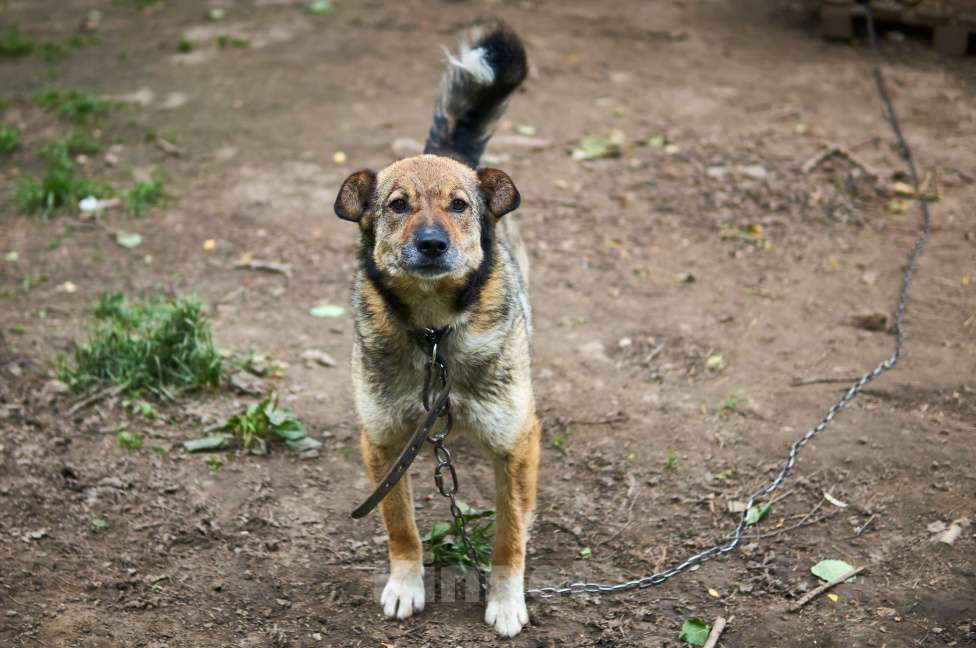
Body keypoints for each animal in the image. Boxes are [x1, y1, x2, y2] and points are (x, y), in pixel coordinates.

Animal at [332, 19, 536, 636]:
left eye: (459, 205)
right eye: (398, 205)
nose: (431, 243)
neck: (434, 332)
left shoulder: (515, 443)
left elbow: (509, 533)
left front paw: (506, 600)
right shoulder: (382, 442)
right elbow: (400, 525)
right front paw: (405, 585)